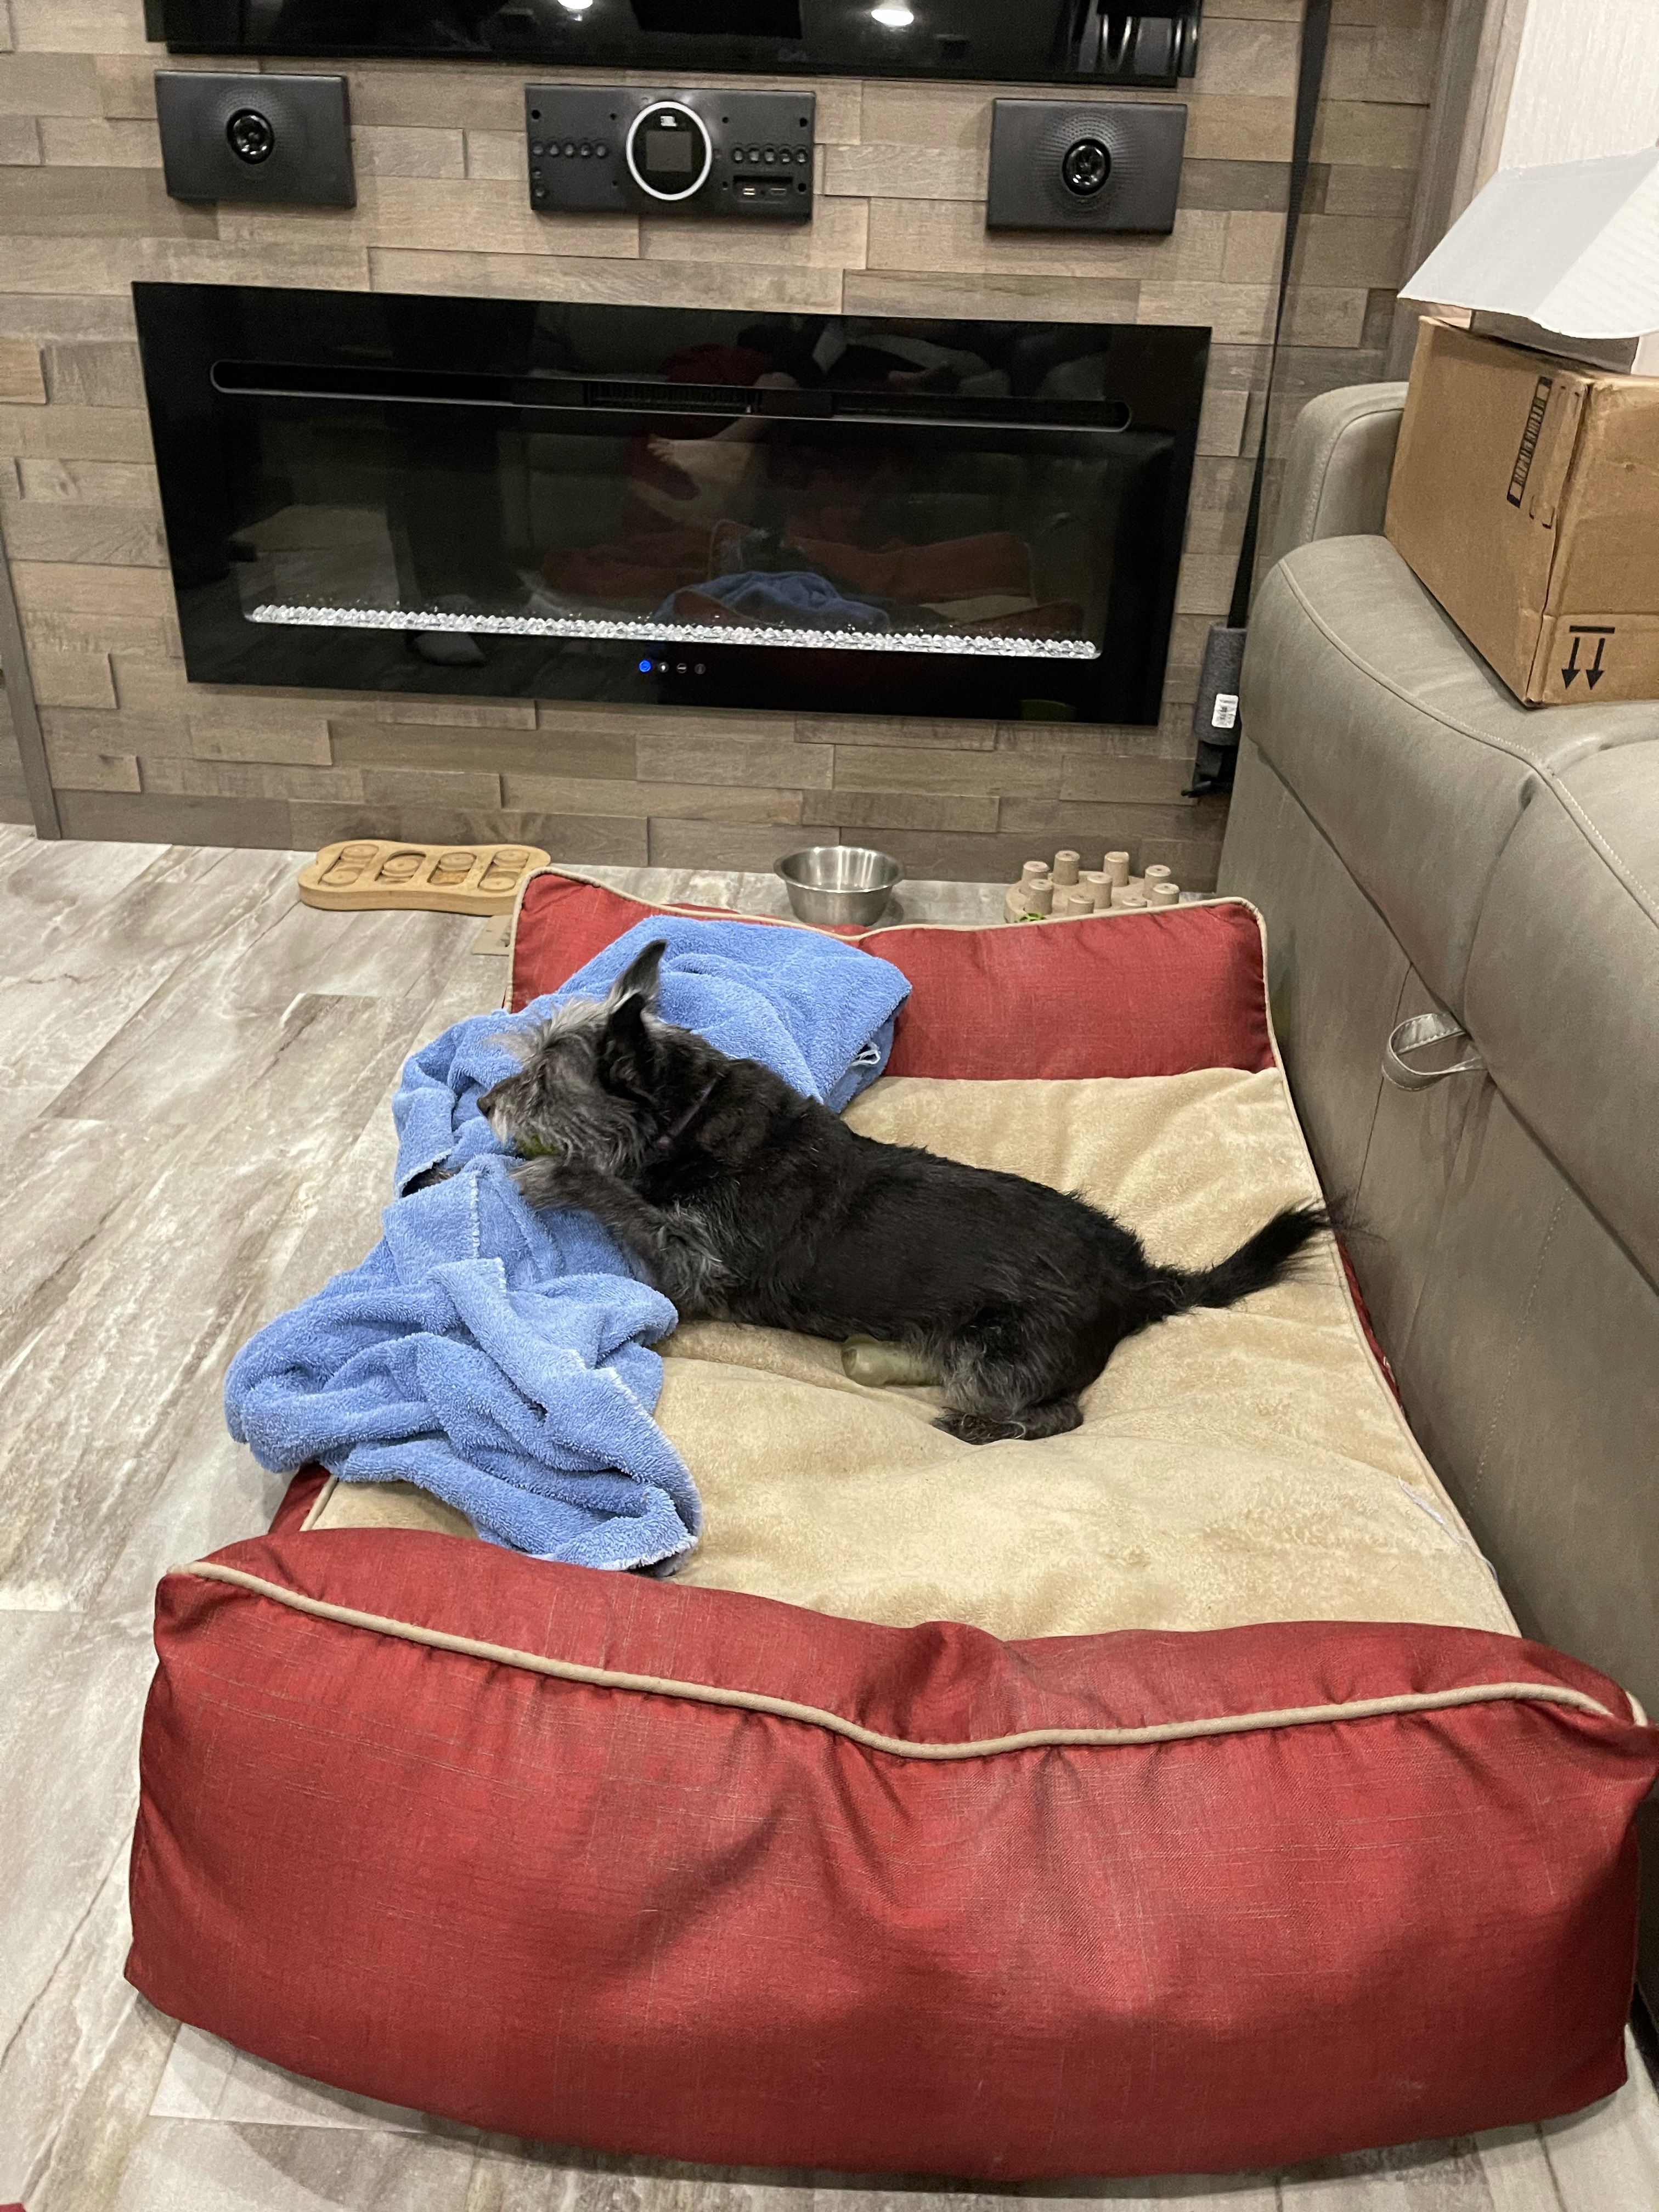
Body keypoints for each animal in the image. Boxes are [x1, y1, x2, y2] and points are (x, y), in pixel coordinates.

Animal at [478, 940, 1328, 1444]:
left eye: (544, 1083)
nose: (485, 1104)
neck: (691, 1115)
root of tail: (1137, 1282)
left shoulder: (697, 1269)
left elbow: (624, 1203)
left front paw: (556, 1176)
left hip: (997, 1357)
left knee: (1062, 1413)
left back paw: (981, 1427)